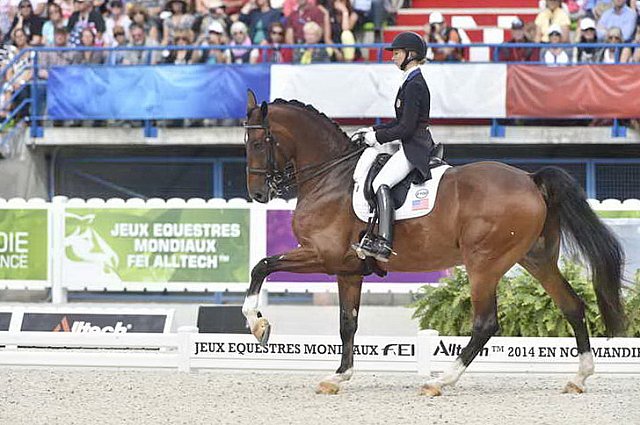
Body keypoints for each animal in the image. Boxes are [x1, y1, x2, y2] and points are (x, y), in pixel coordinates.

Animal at [241, 90, 624, 398]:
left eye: (258, 144)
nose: (258, 194)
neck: (331, 177)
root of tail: (531, 179)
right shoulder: (348, 269)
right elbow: (347, 322)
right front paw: (338, 377)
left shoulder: (323, 255)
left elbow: (262, 265)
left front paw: (258, 326)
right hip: (536, 258)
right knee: (571, 306)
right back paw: (579, 377)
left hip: (484, 263)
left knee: (485, 323)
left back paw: (440, 381)